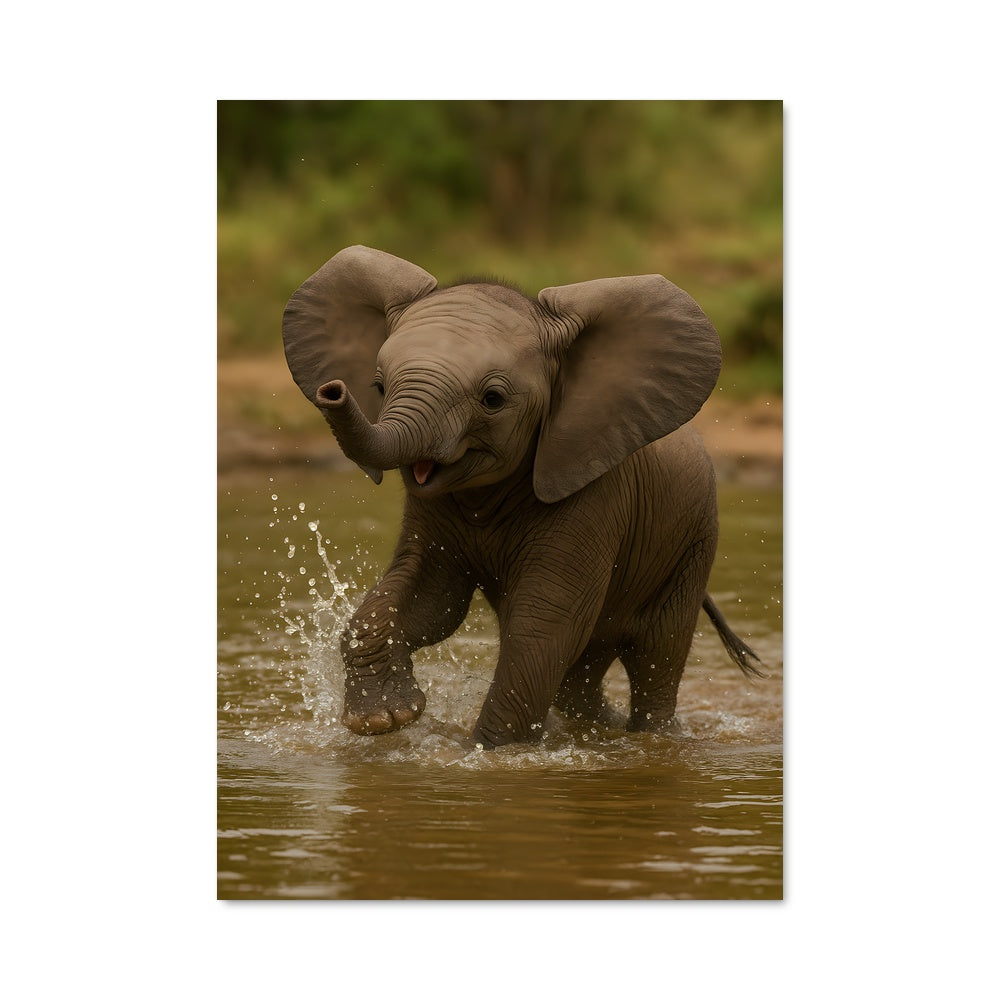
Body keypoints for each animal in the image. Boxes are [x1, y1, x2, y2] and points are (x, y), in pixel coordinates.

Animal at [282, 245, 762, 749]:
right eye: (377, 387)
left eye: (492, 399)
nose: (332, 391)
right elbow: (429, 598)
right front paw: (385, 720)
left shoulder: (596, 492)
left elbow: (542, 625)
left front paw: (489, 753)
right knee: (582, 674)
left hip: (691, 545)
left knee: (656, 657)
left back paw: (655, 736)